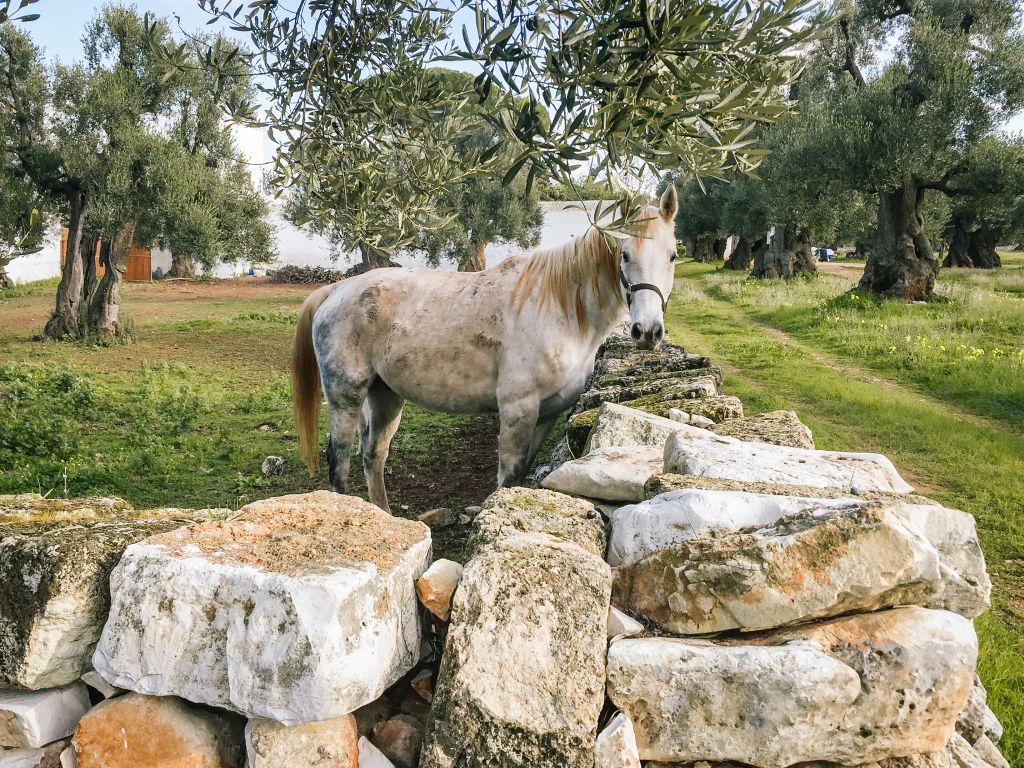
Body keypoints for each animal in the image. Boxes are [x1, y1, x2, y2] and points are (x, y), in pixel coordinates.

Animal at [291, 185, 678, 512]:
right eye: (624, 254)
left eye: (673, 256)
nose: (647, 331)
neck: (557, 309)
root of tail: (336, 289)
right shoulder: (517, 410)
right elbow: (508, 476)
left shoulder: (547, 414)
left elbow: (521, 475)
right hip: (346, 396)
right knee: (339, 461)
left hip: (385, 395)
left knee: (374, 455)